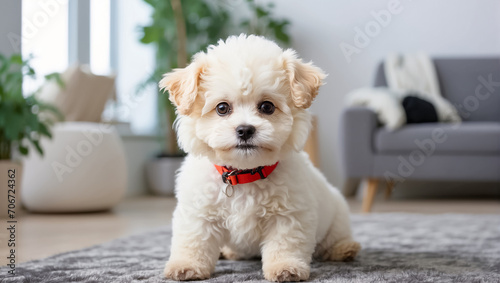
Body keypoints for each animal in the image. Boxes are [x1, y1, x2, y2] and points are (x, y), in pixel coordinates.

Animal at [160, 34, 360, 282]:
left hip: (337, 215)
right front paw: (186, 265)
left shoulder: (288, 216)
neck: (244, 174)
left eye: (267, 106)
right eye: (222, 108)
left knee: (334, 238)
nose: (245, 130)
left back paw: (344, 249)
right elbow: (194, 240)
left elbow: (285, 244)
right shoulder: (199, 213)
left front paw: (286, 268)